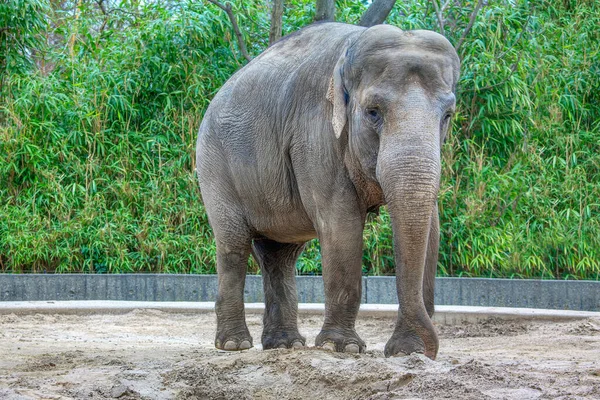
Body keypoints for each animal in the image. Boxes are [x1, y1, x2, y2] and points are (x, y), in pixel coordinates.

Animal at [197, 21, 460, 360]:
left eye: (448, 115)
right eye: (373, 112)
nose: (427, 350)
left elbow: (432, 230)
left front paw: (407, 351)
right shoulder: (314, 136)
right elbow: (341, 225)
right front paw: (342, 348)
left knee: (278, 256)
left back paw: (285, 344)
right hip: (214, 167)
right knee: (233, 244)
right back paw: (234, 344)